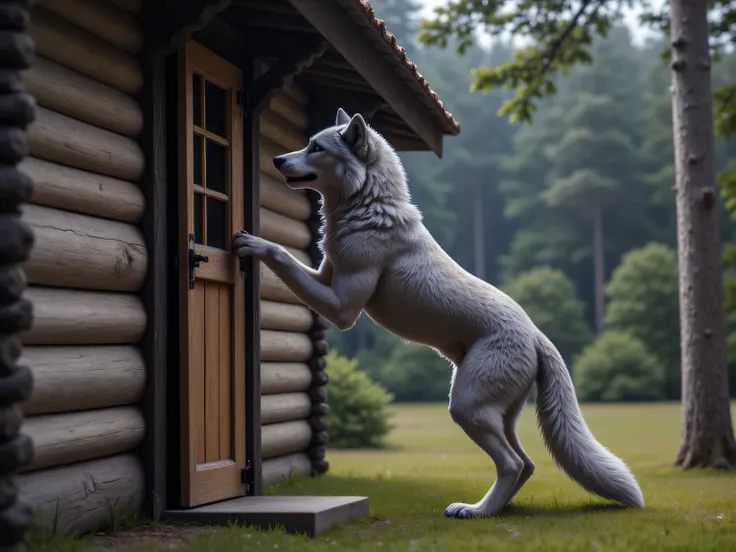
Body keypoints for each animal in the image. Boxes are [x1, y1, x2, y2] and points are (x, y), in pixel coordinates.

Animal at [232, 108, 644, 518]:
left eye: (316, 147)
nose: (276, 159)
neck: (369, 204)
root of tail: (537, 335)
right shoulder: (326, 277)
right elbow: (295, 266)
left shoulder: (343, 308)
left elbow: (282, 255)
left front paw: (253, 242)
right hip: (497, 414)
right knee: (526, 463)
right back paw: (494, 509)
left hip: (467, 407)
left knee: (512, 463)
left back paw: (476, 512)